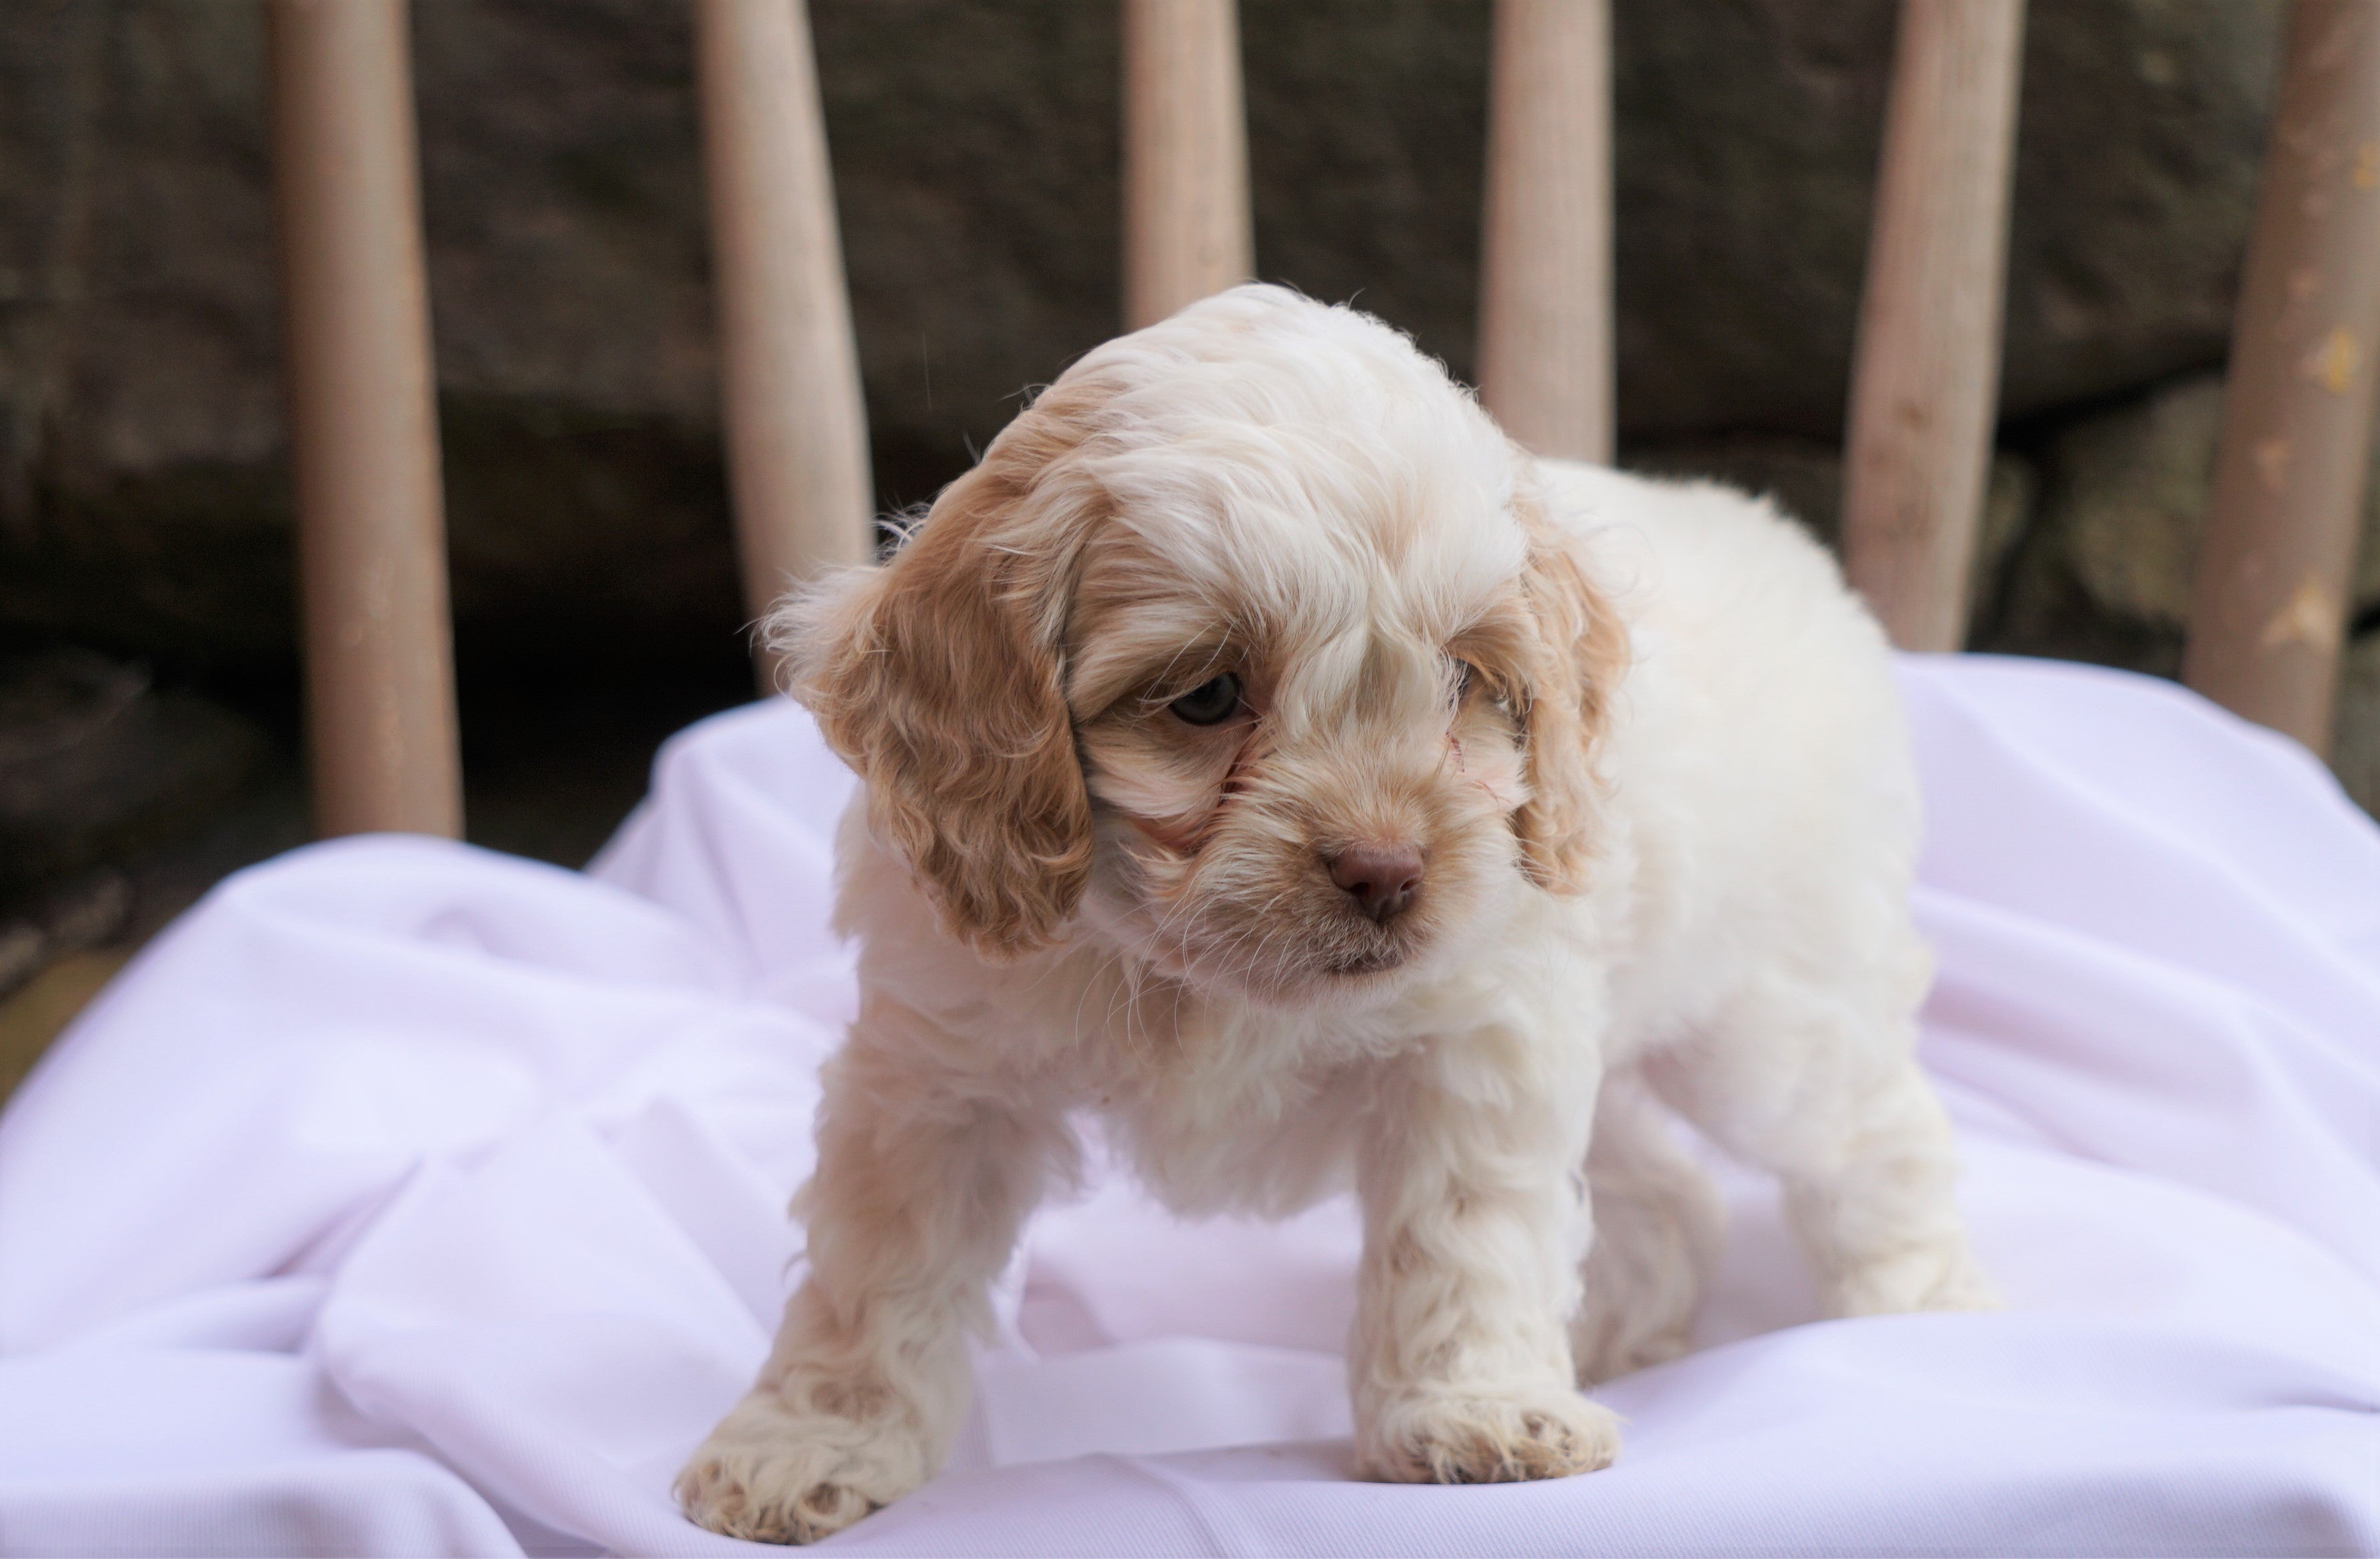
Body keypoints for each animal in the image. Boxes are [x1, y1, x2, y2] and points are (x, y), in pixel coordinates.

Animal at [671, 286, 1989, 1542]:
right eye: (1206, 696)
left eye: (1463, 682)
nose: (1388, 869)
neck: (1191, 971)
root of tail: (1798, 559)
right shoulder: (938, 1070)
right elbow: (877, 1266)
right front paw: (812, 1440)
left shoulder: (1475, 1039)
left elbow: (1459, 1232)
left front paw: (1472, 1410)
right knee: (1667, 1186)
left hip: (1766, 1027)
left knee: (1877, 1133)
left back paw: (1916, 1313)